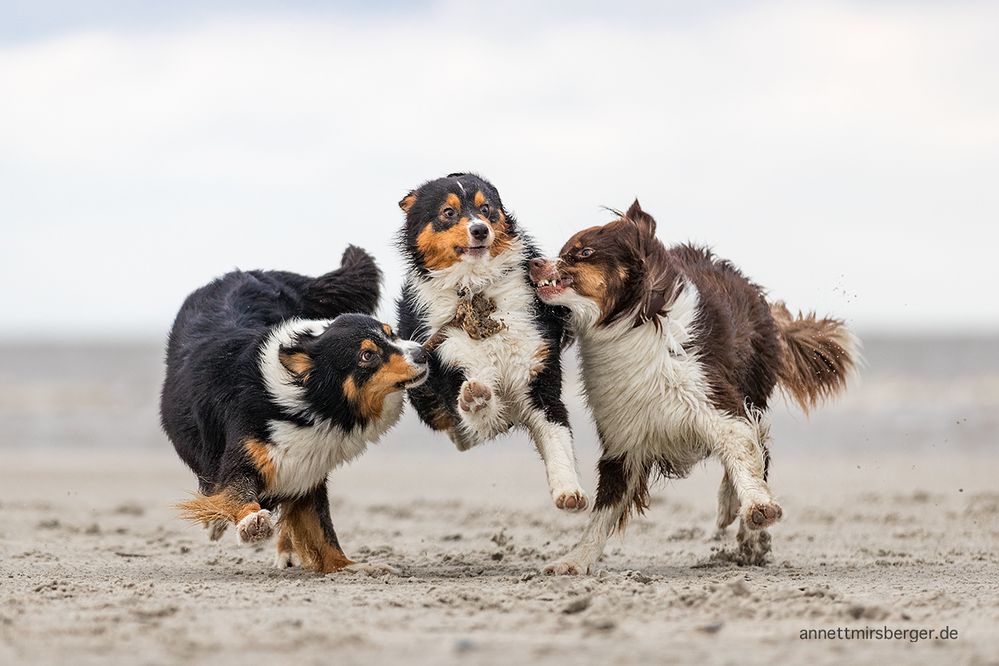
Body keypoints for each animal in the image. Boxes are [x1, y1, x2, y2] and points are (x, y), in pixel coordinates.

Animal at [160, 246, 426, 572]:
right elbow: (238, 492)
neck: (308, 404)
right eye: (367, 355)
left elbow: (322, 531)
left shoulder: (308, 473)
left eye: (391, 333)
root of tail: (247, 273)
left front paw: (352, 566)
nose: (424, 352)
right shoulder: (243, 456)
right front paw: (251, 523)